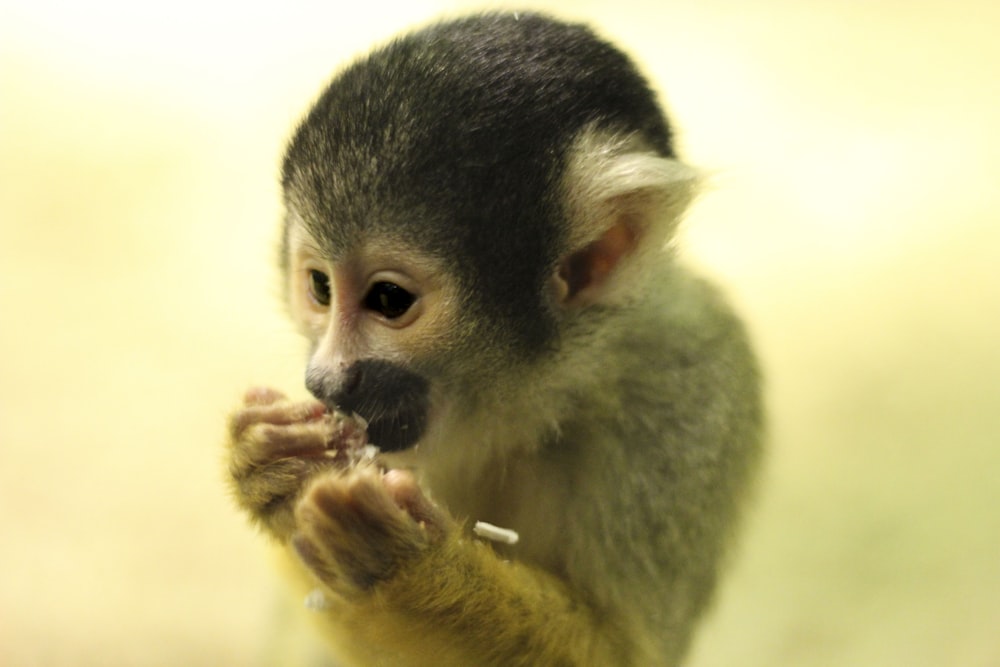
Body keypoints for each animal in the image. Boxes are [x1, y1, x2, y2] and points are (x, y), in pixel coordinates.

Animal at [225, 11, 756, 667]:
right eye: (320, 288)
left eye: (388, 300)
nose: (322, 379)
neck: (534, 403)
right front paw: (268, 468)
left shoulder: (684, 395)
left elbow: (624, 650)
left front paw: (404, 567)